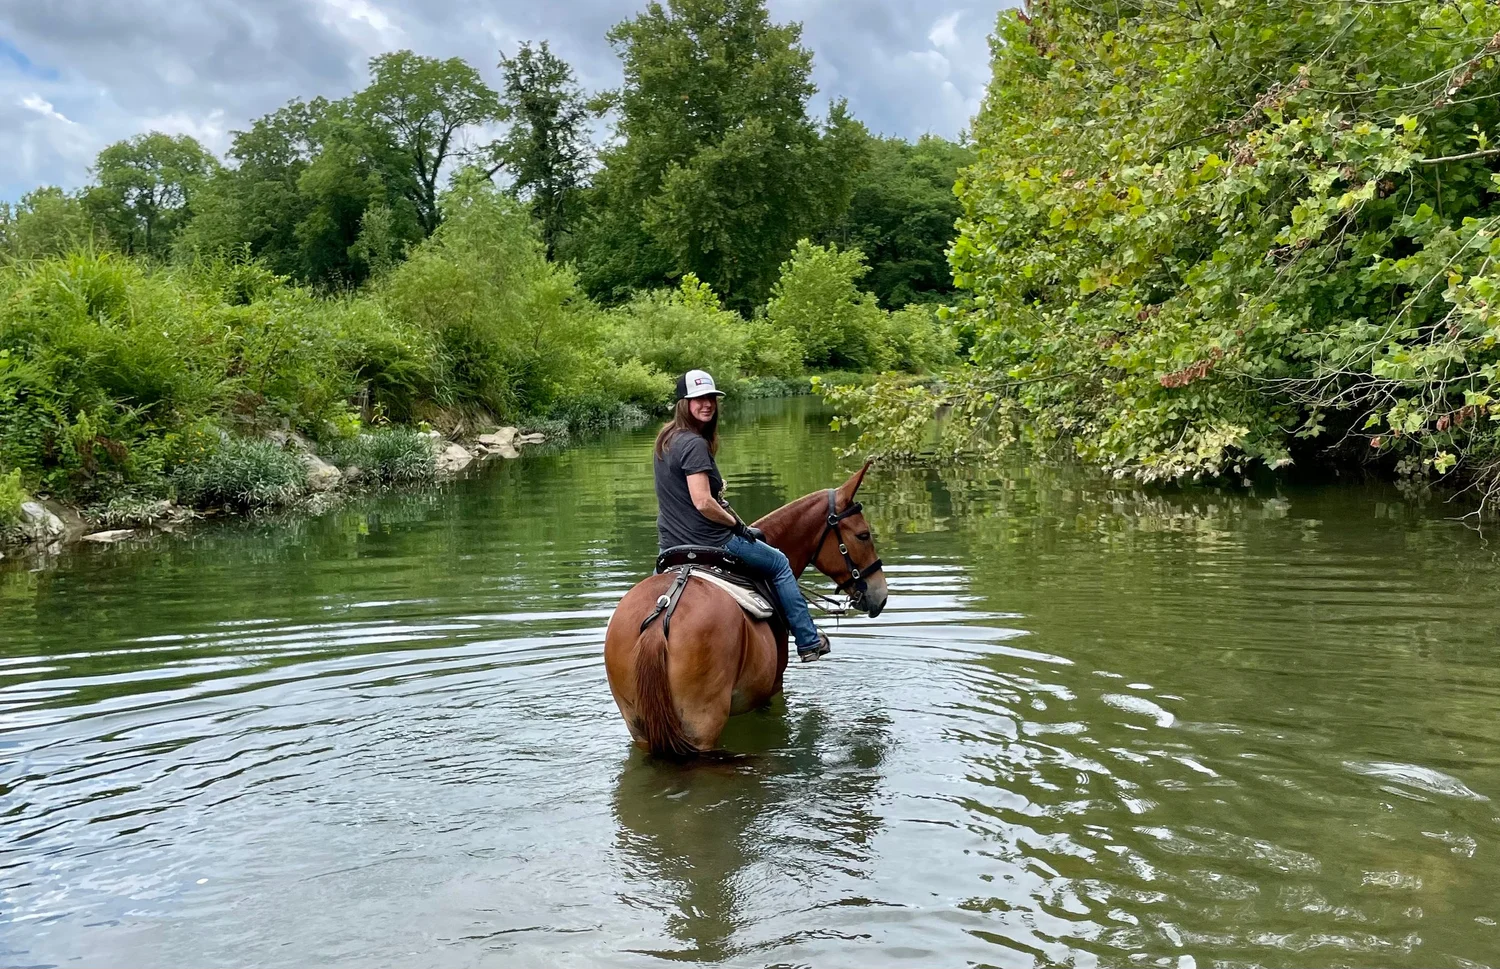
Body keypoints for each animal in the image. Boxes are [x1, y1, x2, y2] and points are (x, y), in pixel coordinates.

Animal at [604, 462, 889, 757]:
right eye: (863, 535)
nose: (880, 595)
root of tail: (664, 611)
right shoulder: (773, 688)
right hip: (702, 723)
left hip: (641, 726)